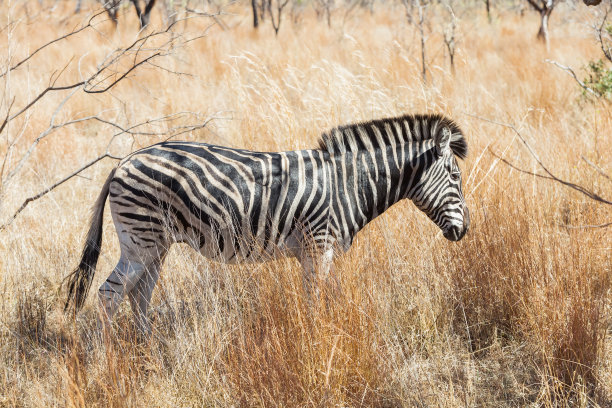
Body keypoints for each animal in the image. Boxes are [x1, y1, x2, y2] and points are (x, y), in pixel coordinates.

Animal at [65, 112, 468, 334]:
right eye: (455, 177)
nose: (463, 232)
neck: (347, 185)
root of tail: (123, 161)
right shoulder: (318, 246)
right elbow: (314, 302)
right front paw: (317, 345)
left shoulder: (318, 252)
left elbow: (319, 300)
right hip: (140, 241)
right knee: (109, 295)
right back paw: (108, 364)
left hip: (156, 244)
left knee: (139, 295)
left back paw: (150, 352)